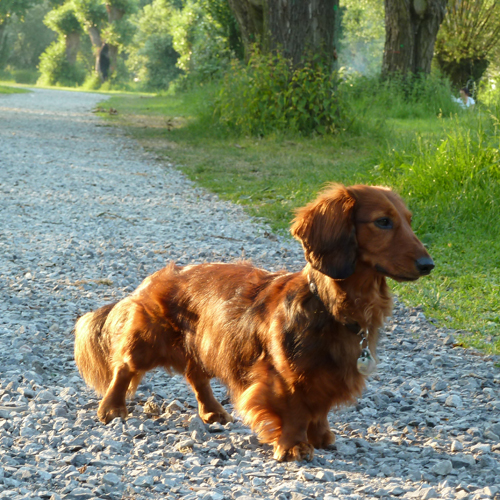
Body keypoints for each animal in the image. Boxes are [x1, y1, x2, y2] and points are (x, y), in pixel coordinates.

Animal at [74, 184, 434, 460]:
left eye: (409, 221)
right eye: (383, 222)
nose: (428, 264)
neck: (330, 305)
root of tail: (157, 277)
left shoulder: (327, 374)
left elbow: (319, 409)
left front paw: (321, 437)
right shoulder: (285, 375)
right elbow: (296, 410)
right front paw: (294, 447)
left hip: (202, 343)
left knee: (195, 375)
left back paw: (213, 412)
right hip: (148, 340)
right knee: (124, 368)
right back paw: (112, 408)